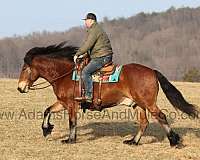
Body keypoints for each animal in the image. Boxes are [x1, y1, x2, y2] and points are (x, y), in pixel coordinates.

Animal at [17, 42, 198, 147]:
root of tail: (152, 71)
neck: (65, 74)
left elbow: (72, 122)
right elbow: (47, 111)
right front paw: (47, 129)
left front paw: (70, 139)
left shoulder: (71, 104)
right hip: (139, 104)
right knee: (144, 123)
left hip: (148, 103)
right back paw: (133, 141)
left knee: (161, 117)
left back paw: (174, 141)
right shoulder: (62, 102)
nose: (20, 87)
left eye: (25, 68)